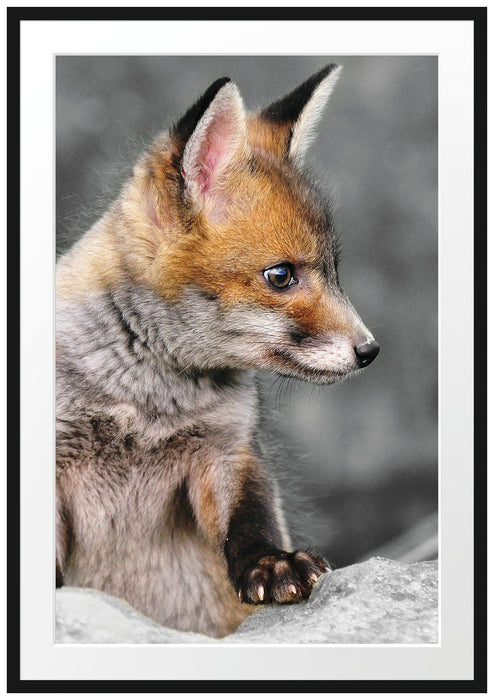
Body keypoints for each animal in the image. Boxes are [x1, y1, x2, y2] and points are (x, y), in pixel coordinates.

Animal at [56, 64, 380, 639]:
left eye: (335, 272)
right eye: (281, 276)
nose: (370, 350)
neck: (147, 407)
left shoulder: (228, 451)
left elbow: (250, 519)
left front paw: (273, 564)